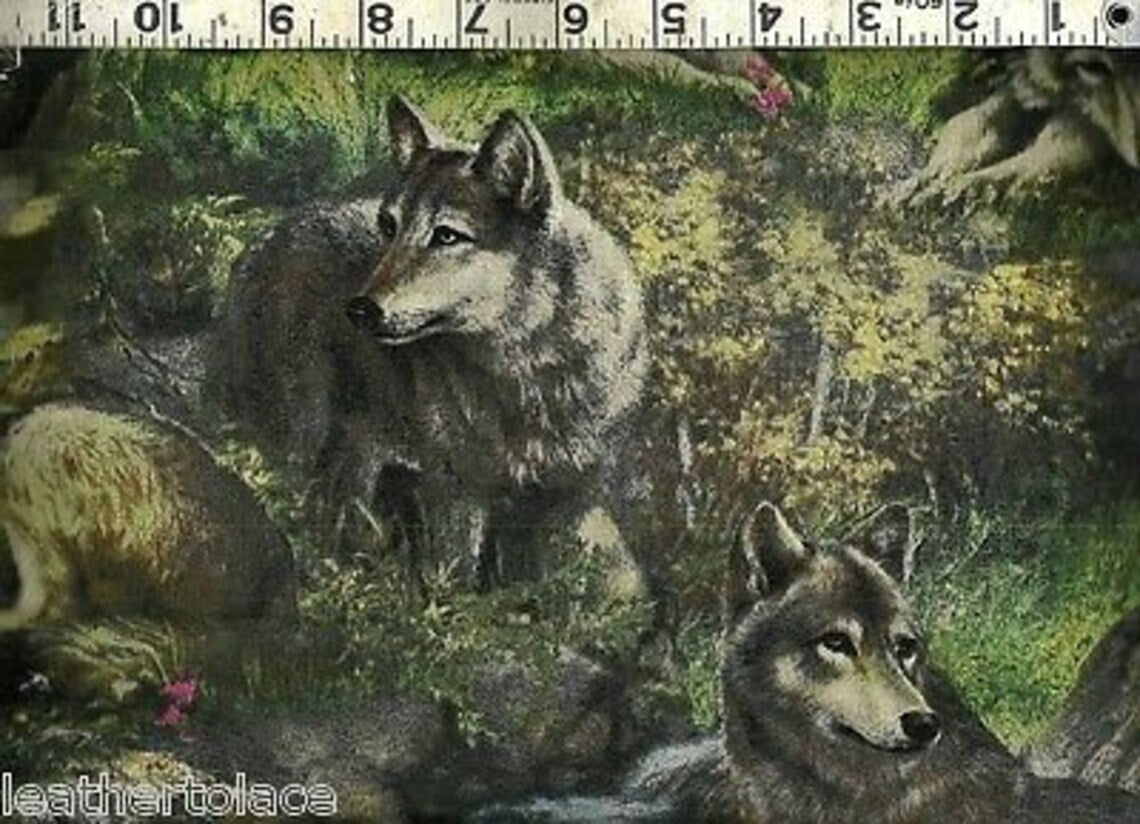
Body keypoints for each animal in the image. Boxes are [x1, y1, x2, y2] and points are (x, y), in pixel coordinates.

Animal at [218, 97, 648, 588]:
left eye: (446, 235)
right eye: (389, 227)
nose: (359, 309)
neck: (526, 371)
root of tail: (271, 234)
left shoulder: (571, 499)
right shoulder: (454, 492)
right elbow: (456, 582)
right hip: (301, 438)